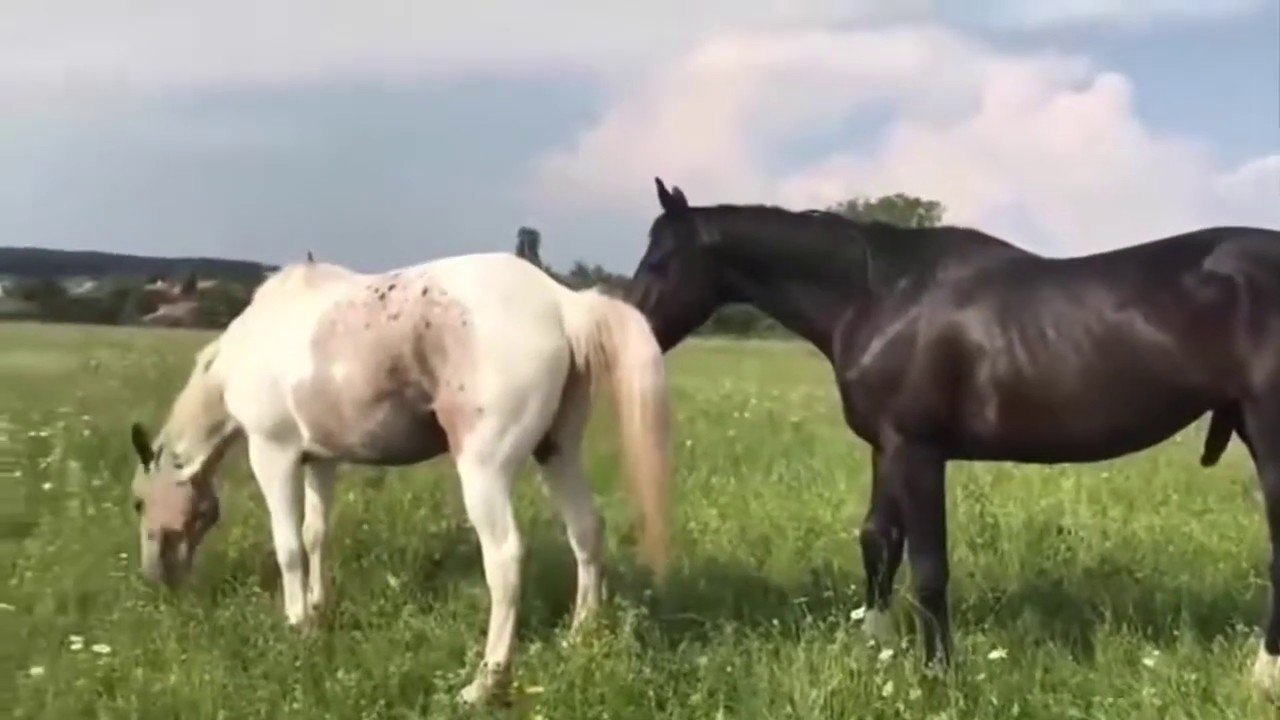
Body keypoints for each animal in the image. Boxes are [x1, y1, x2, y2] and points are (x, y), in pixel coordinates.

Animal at [126, 251, 673, 704]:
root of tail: (563, 303)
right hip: (557, 452)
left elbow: (289, 547)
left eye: (138, 503)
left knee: (505, 559)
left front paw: (296, 623)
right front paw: (319, 611)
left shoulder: (273, 453)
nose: (159, 578)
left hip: (485, 469)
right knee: (586, 531)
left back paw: (484, 683)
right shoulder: (319, 460)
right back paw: (580, 635)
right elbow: (316, 534)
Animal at [627, 176, 1280, 695]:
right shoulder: (887, 446)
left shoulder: (919, 451)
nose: (626, 337)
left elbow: (928, 567)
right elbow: (878, 542)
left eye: (661, 261)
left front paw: (938, 672)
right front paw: (876, 647)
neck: (878, 296)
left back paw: (1262, 675)